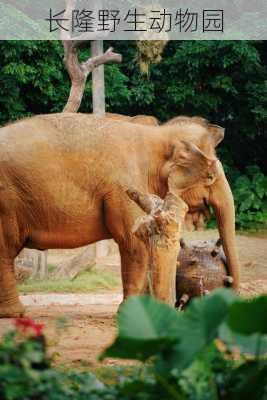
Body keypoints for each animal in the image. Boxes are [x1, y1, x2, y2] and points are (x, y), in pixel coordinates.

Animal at [0, 114, 240, 318]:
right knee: (5, 249)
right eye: (211, 177)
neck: (158, 134)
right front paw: (128, 313)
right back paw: (15, 313)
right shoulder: (125, 187)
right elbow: (134, 244)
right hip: (6, 201)